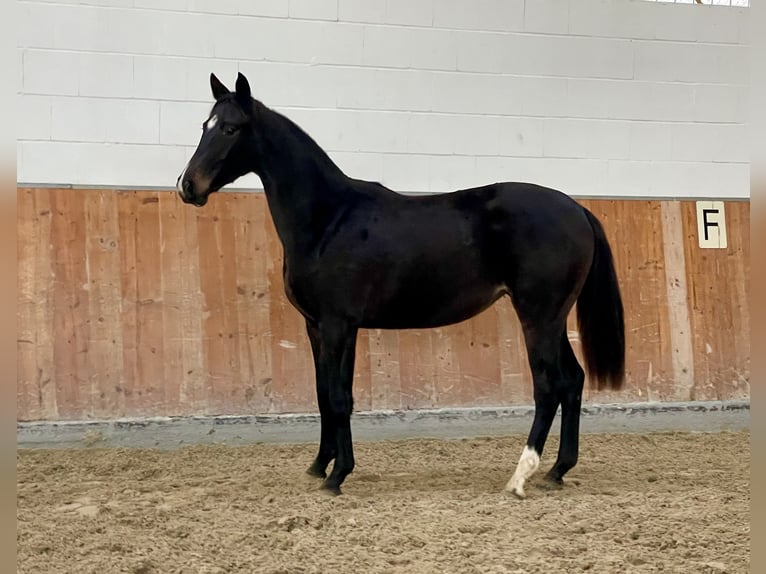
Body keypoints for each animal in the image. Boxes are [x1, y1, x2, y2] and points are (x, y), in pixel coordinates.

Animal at [177, 73, 628, 500]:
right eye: (205, 125)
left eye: (231, 129)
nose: (187, 185)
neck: (330, 218)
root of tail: (577, 209)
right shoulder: (317, 326)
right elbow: (324, 394)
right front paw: (320, 465)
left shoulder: (339, 325)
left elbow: (339, 397)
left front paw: (338, 475)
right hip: (553, 318)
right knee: (572, 381)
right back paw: (557, 470)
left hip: (537, 316)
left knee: (549, 387)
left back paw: (520, 478)